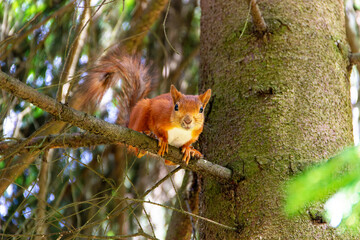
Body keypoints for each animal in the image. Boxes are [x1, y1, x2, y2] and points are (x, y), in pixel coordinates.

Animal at [73, 48, 211, 165]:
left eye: (201, 109)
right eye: (176, 107)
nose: (187, 121)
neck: (181, 130)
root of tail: (129, 124)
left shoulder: (195, 134)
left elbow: (186, 144)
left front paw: (188, 149)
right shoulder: (158, 111)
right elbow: (156, 126)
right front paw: (162, 139)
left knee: (168, 162)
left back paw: (193, 152)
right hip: (141, 113)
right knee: (136, 148)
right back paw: (147, 137)